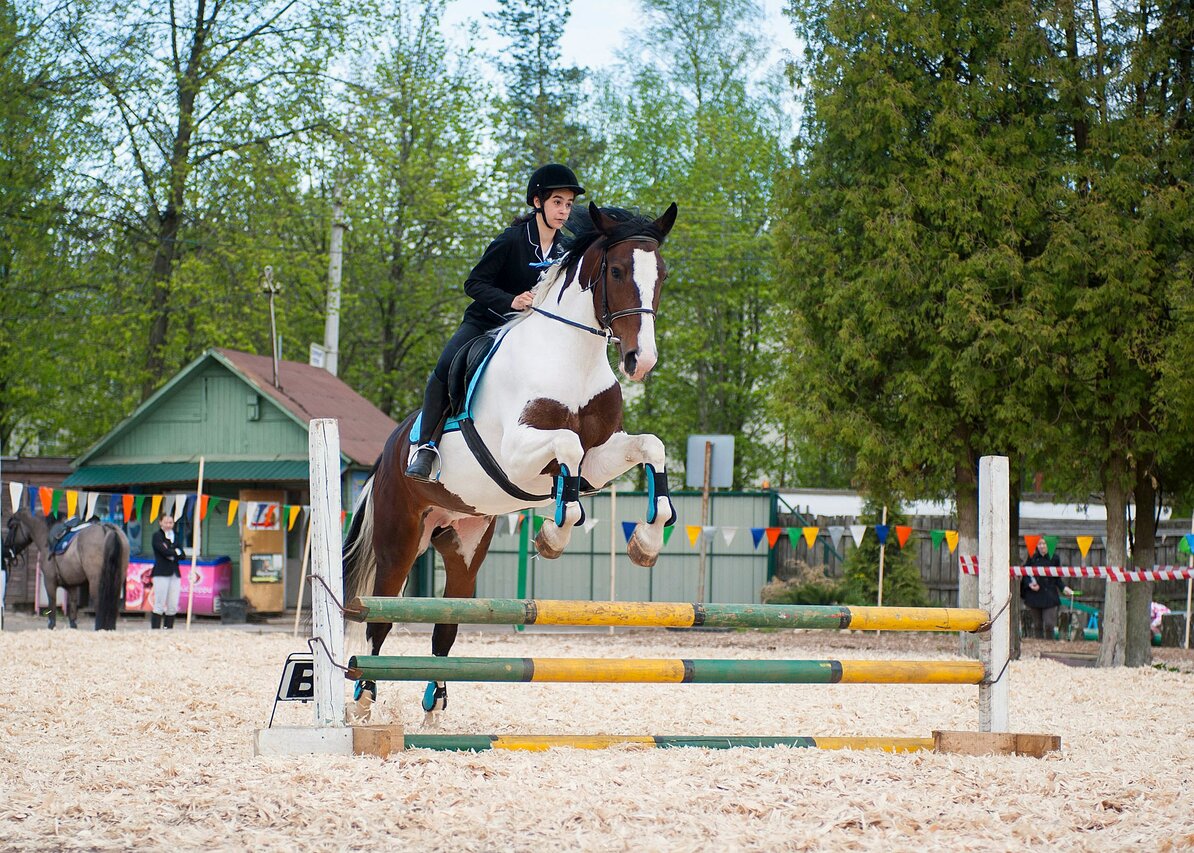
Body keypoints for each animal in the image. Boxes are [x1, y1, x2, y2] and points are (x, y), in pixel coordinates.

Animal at [1, 508, 129, 626]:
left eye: (12, 527)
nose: (6, 550)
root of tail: (108, 529)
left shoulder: (50, 582)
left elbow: (52, 617)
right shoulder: (72, 586)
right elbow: (72, 619)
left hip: (96, 583)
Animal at [343, 200, 682, 716]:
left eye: (660, 273)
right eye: (618, 271)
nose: (639, 361)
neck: (571, 358)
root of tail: (386, 456)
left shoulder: (599, 459)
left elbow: (649, 447)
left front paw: (646, 540)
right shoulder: (518, 455)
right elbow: (567, 453)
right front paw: (552, 536)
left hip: (465, 541)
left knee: (447, 626)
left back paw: (435, 701)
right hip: (399, 540)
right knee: (379, 619)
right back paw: (363, 700)